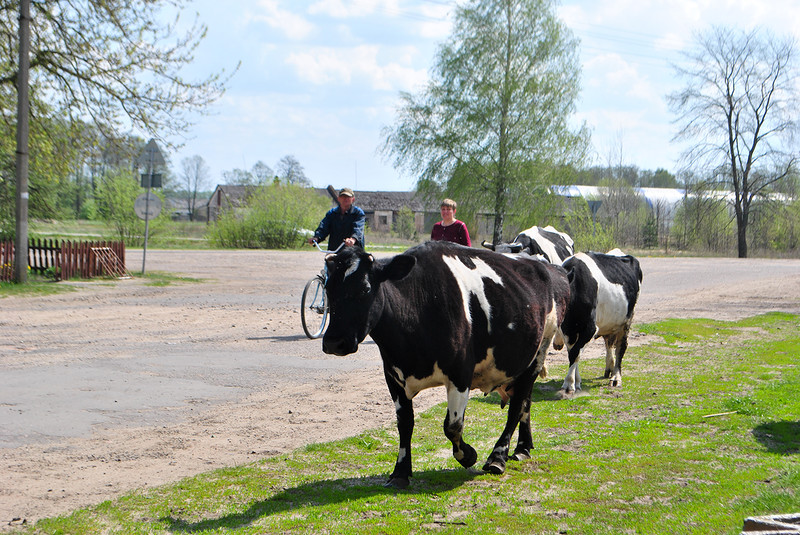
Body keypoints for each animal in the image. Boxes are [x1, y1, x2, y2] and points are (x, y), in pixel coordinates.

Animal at [318, 242, 568, 490]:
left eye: (364, 289)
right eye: (328, 289)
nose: (333, 342)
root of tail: (547, 266)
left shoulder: (460, 374)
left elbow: (453, 425)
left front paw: (468, 455)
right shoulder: (393, 376)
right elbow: (405, 423)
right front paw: (400, 472)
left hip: (538, 353)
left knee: (517, 407)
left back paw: (497, 457)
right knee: (525, 402)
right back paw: (523, 447)